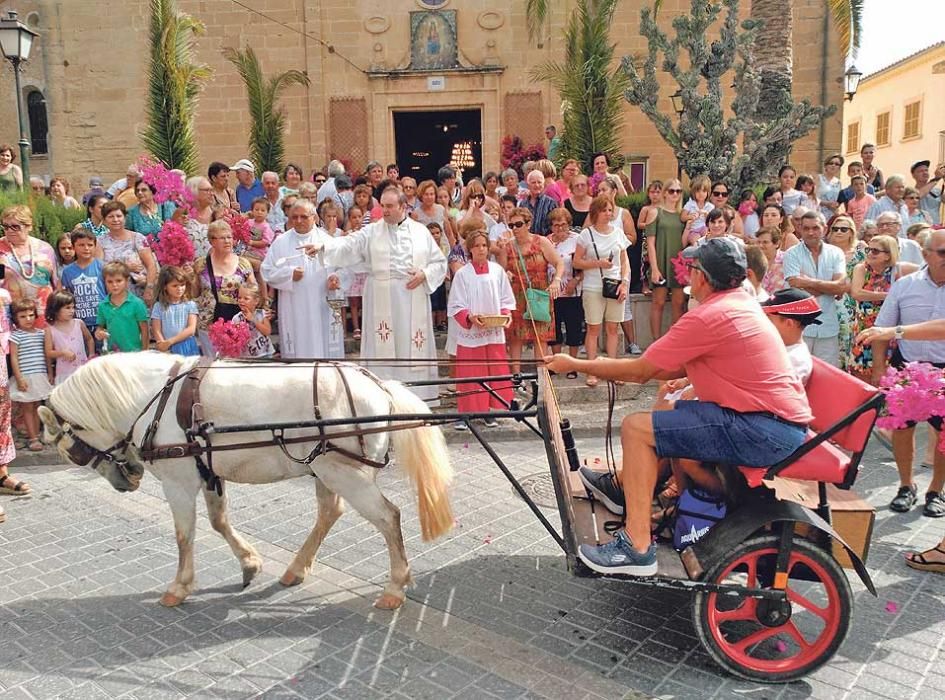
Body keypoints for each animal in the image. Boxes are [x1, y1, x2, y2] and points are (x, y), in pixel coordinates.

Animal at [42, 352, 456, 608]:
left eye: (70, 450)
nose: (129, 478)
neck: (158, 397)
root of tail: (379, 386)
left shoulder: (179, 482)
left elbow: (184, 534)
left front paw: (179, 586)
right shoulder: (209, 472)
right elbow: (218, 521)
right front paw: (250, 563)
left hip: (344, 474)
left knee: (387, 517)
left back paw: (395, 586)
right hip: (327, 470)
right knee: (330, 512)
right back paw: (295, 569)